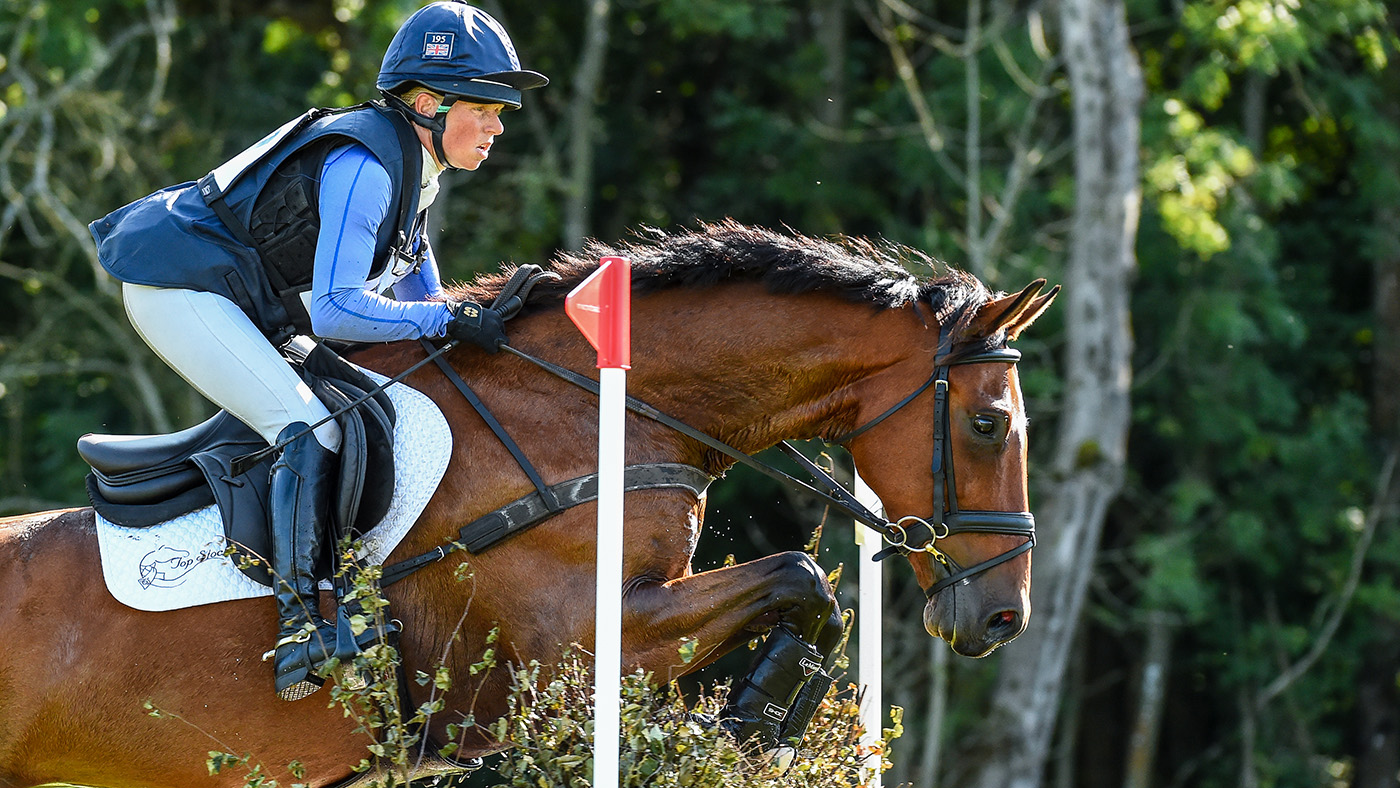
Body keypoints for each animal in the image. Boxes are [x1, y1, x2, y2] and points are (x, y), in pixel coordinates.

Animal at [0, 221, 1056, 788]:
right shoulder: (582, 646)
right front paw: (753, 715)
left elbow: (808, 593)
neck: (587, 408)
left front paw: (750, 718)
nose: (1006, 617)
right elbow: (801, 574)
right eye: (990, 424)